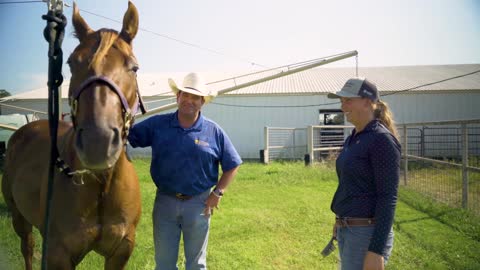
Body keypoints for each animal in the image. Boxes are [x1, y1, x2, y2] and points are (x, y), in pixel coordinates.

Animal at [1, 1, 144, 268]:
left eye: (134, 67)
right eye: (70, 63)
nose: (98, 143)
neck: (102, 184)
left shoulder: (121, 251)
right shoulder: (59, 254)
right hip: (18, 217)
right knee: (28, 248)